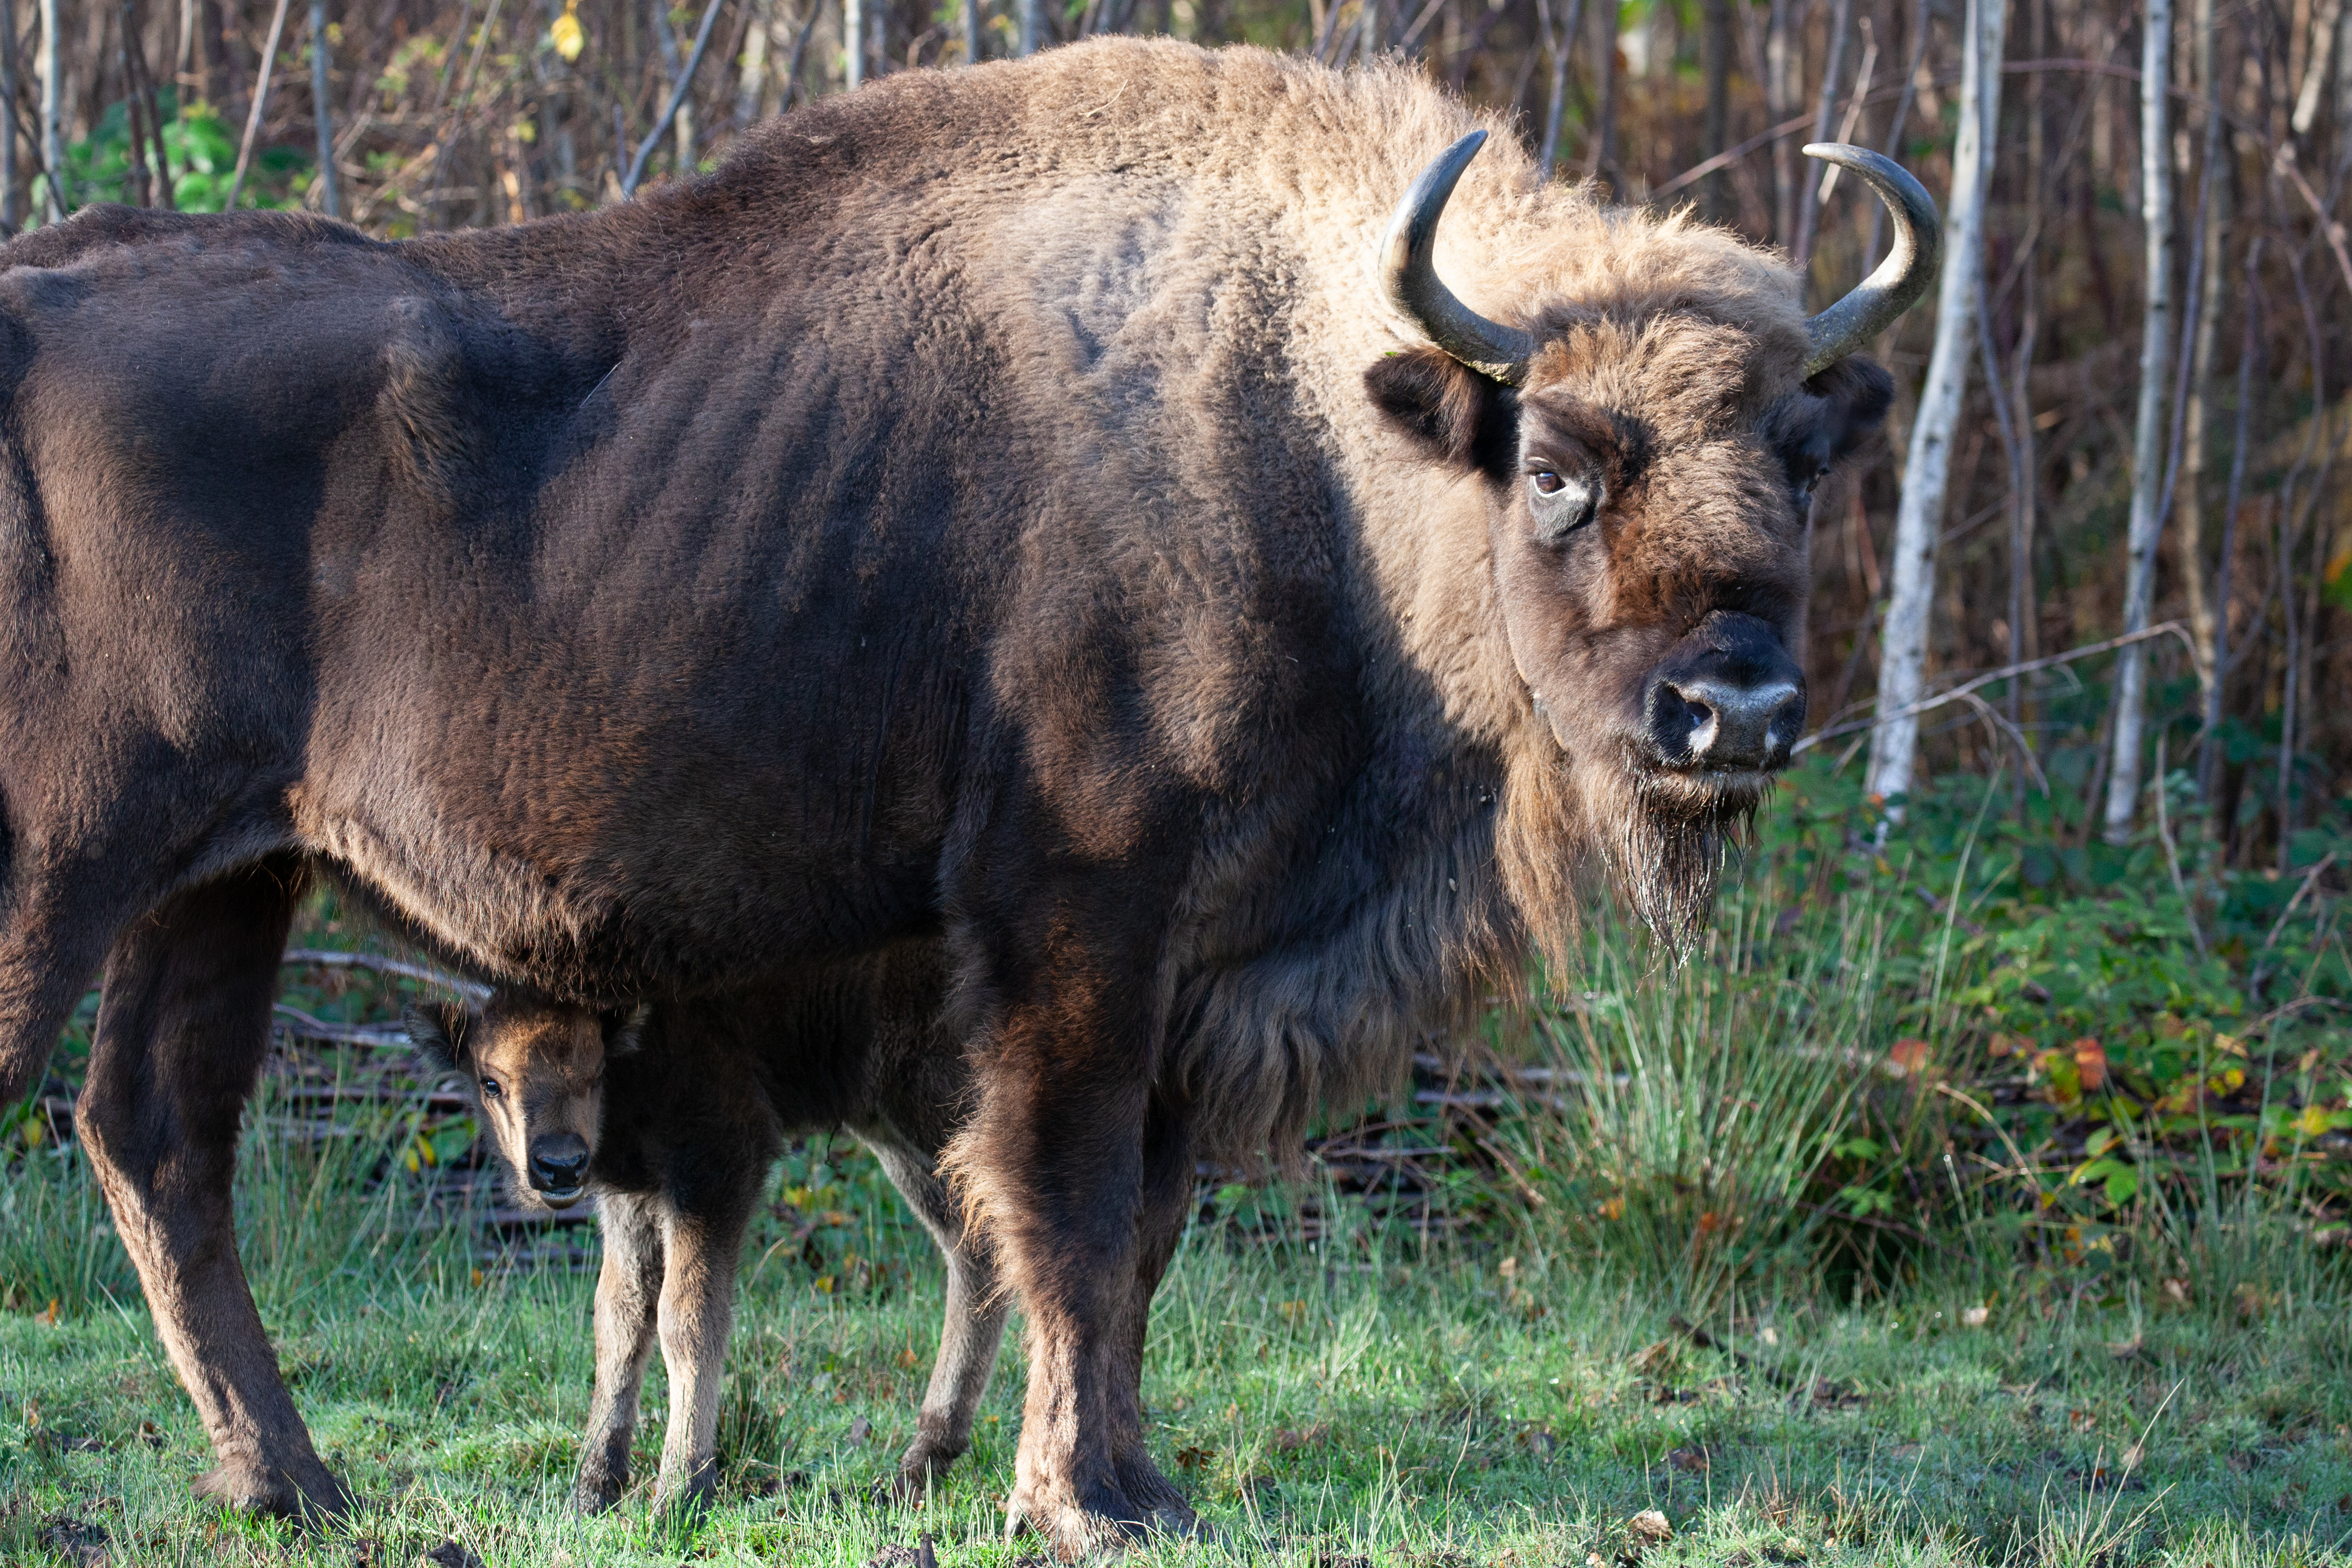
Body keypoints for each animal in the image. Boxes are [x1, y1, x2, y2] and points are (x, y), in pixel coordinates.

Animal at [400, 948, 1005, 1512]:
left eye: (594, 1075)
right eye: (491, 1082)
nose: (560, 1165)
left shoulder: (717, 1170)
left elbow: (686, 1318)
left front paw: (679, 1493)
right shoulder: (631, 1201)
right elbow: (619, 1319)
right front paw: (591, 1490)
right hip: (901, 1136)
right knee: (976, 1251)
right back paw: (920, 1464)